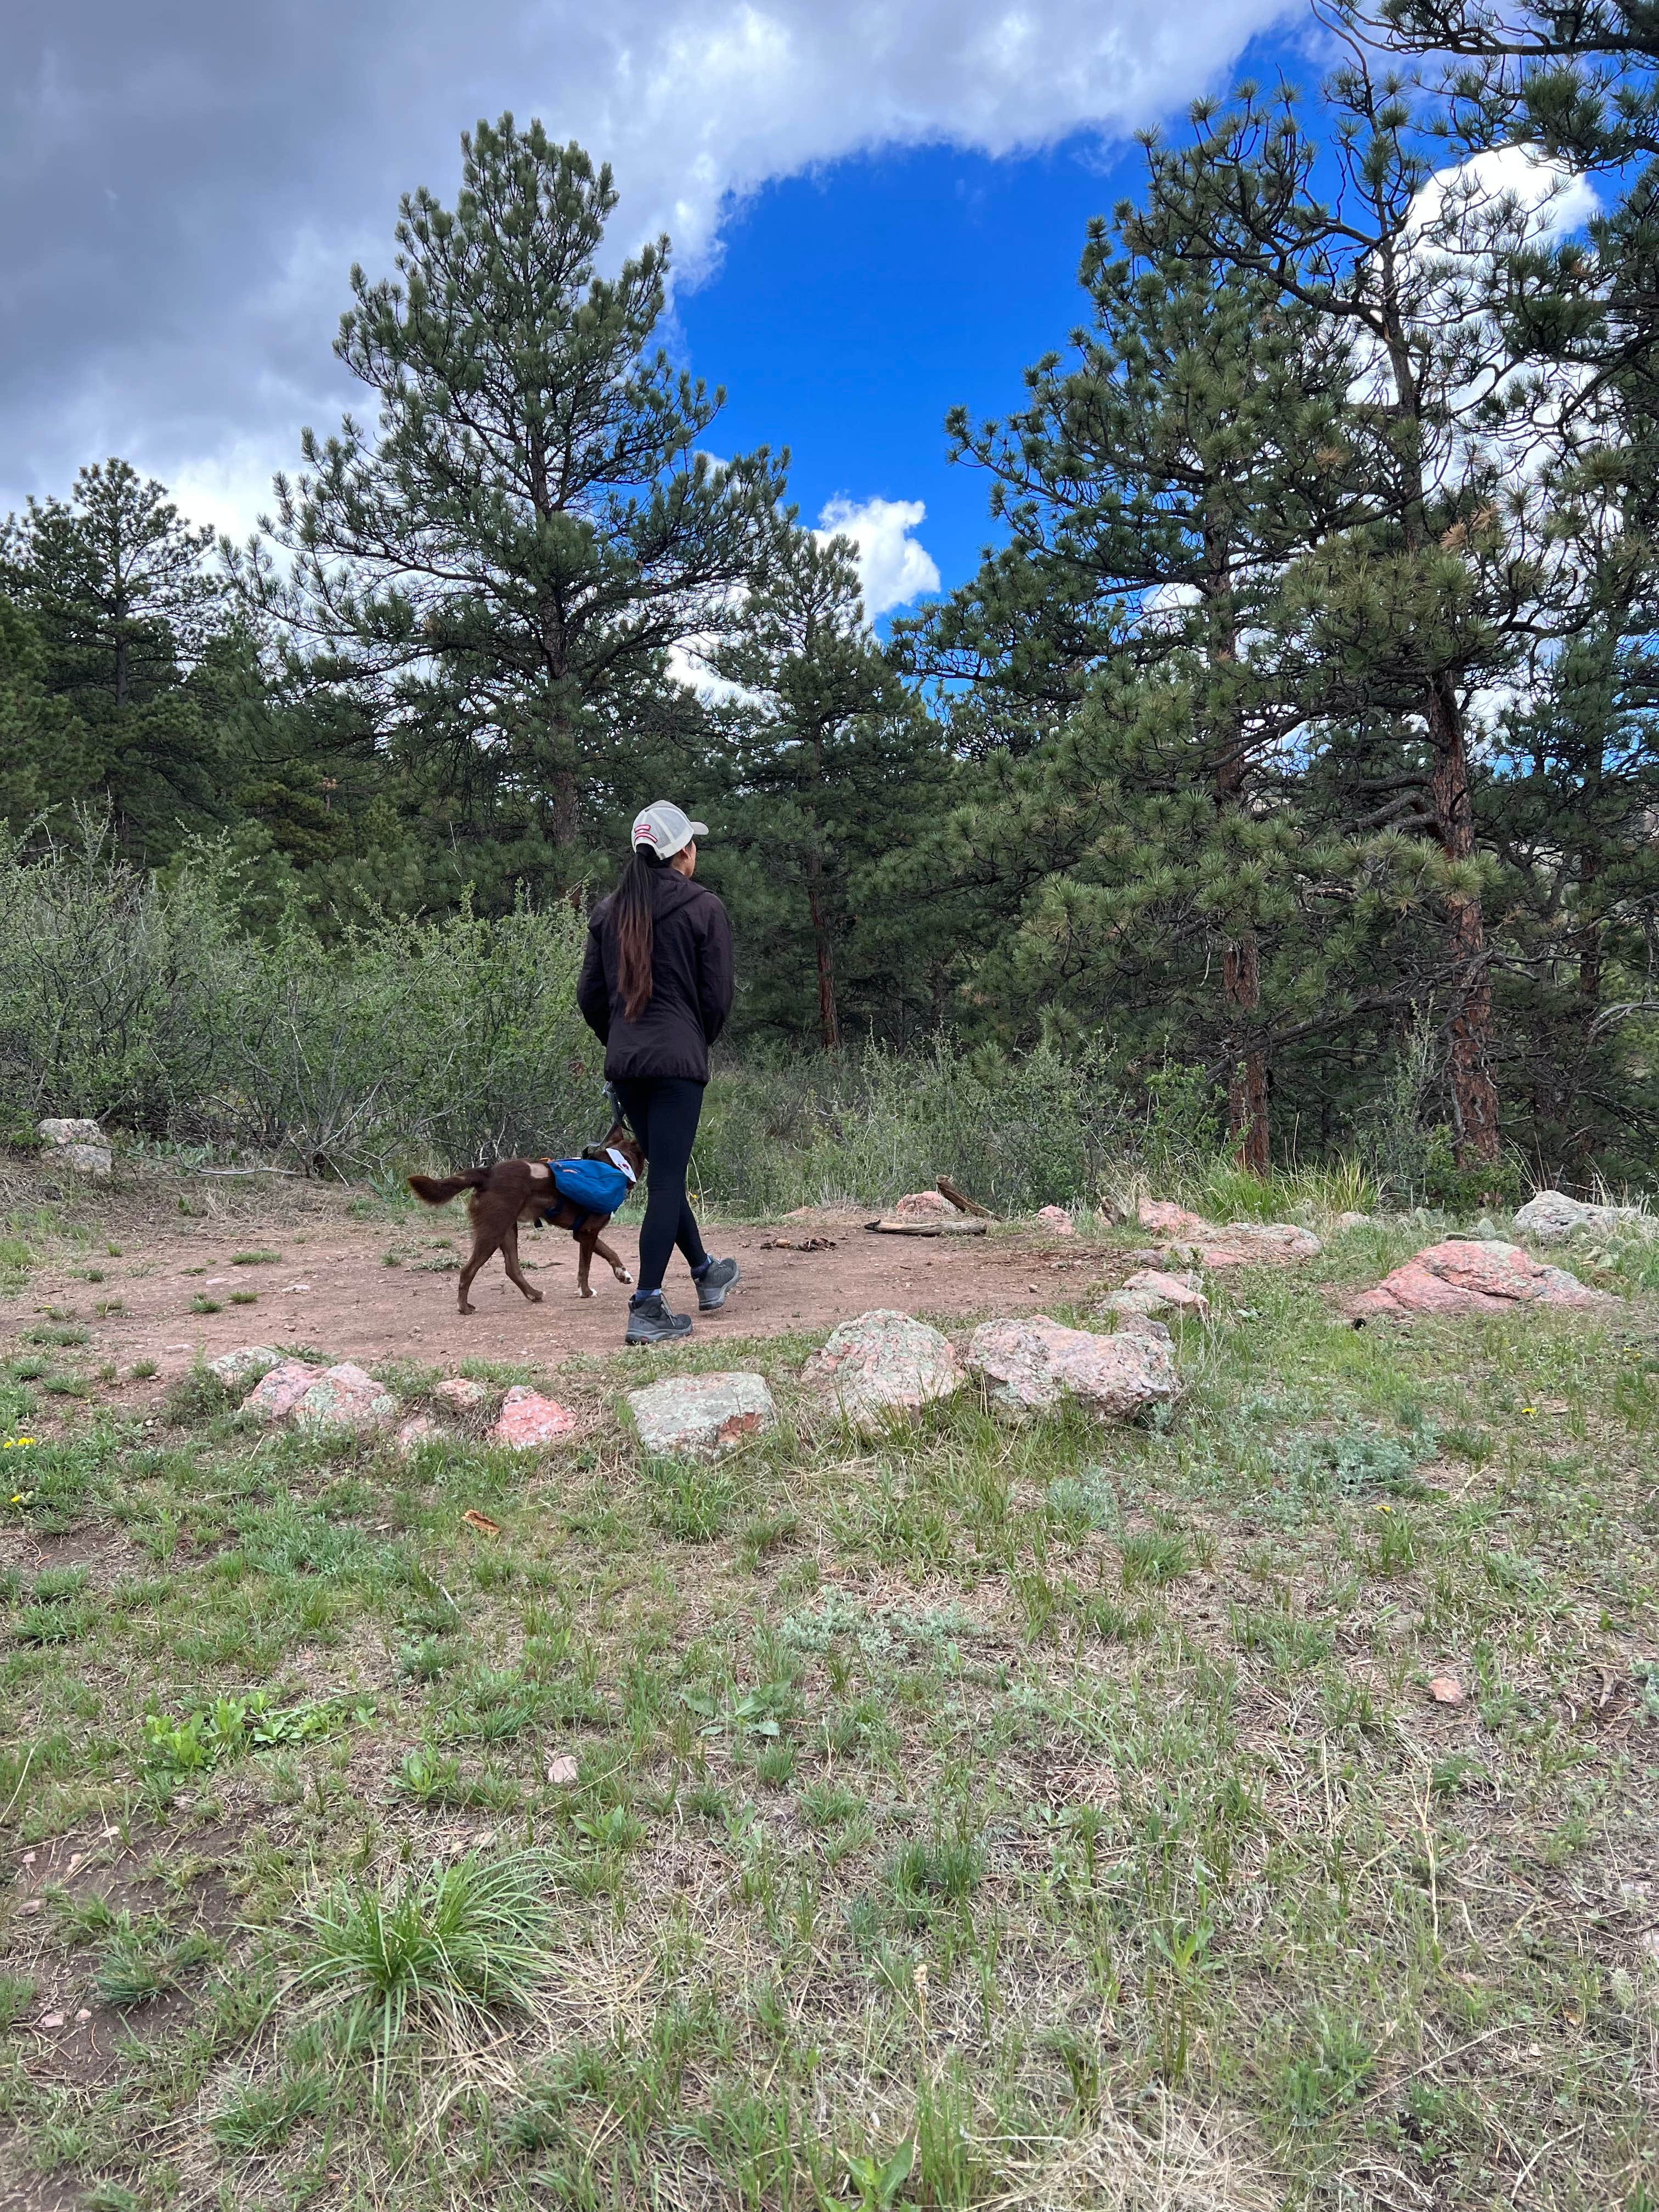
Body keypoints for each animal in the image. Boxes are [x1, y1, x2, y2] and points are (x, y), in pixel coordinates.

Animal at [413, 1124, 646, 1309]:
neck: (615, 1166)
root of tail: (487, 1173)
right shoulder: (588, 1232)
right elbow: (585, 1267)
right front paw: (586, 1292)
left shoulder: (583, 1233)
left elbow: (610, 1252)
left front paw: (622, 1274)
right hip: (492, 1232)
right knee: (467, 1270)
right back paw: (464, 1307)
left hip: (507, 1230)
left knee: (512, 1269)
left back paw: (533, 1294)